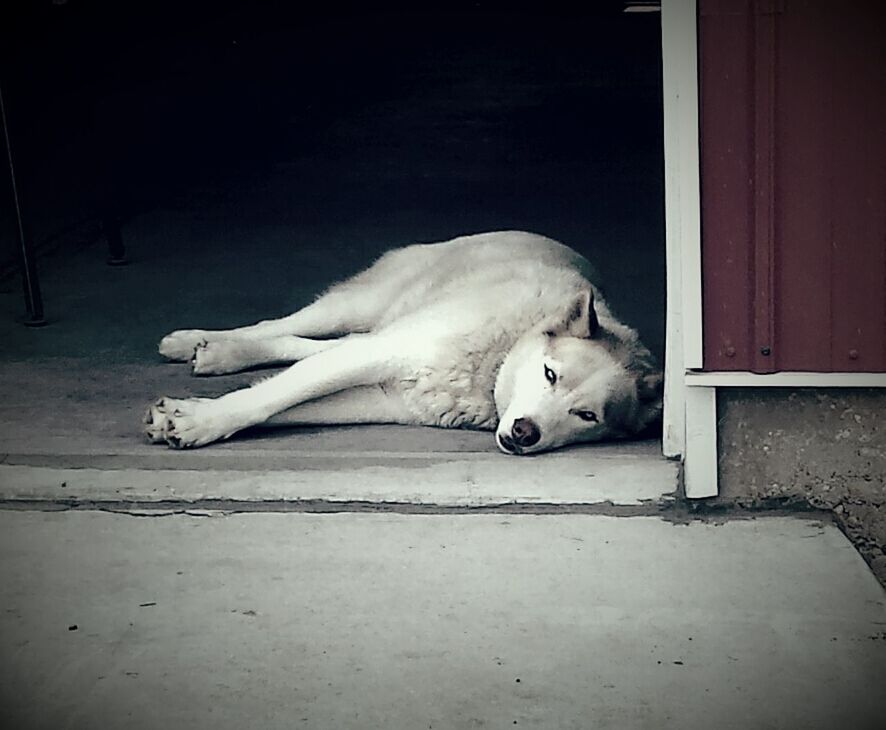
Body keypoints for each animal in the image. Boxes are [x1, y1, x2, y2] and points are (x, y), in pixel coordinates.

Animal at [144, 230, 660, 452]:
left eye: (587, 416)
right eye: (549, 374)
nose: (524, 434)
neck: (496, 359)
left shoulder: (385, 395)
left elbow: (286, 403)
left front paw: (188, 417)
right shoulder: (379, 354)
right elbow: (272, 397)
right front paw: (203, 421)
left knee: (324, 343)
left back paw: (219, 354)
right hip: (363, 304)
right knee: (286, 324)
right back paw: (197, 341)